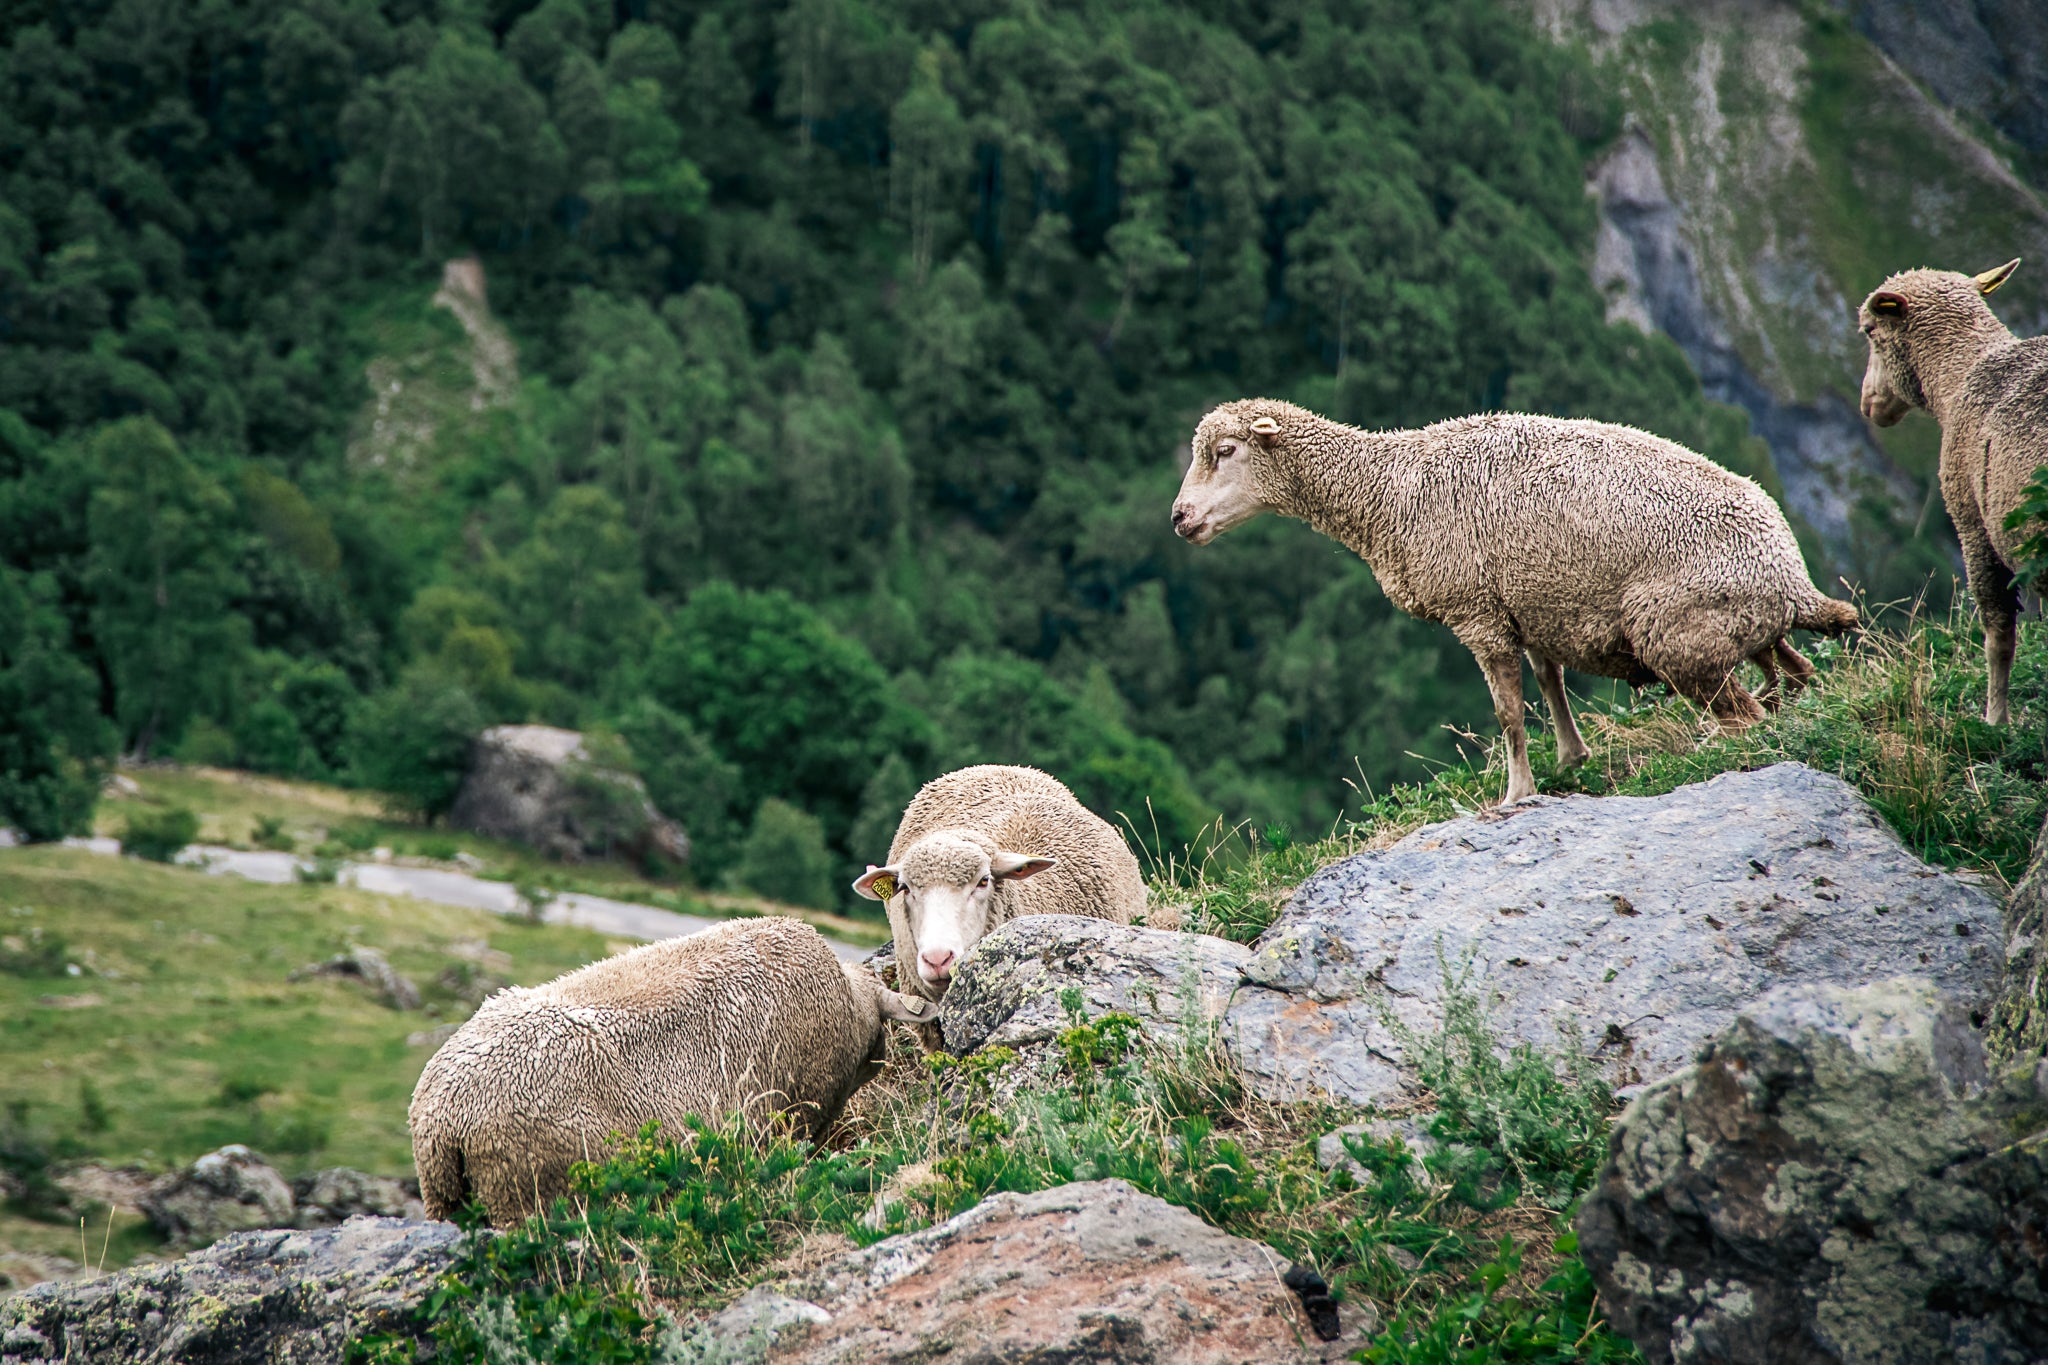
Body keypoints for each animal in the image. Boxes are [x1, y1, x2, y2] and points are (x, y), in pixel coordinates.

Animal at [1171, 394, 1859, 806]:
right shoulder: (1530, 607)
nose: (1178, 518)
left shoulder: (1477, 614)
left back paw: (1725, 748)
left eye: (1225, 452)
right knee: (1796, 673)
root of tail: (1791, 574)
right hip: (1750, 630)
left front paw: (1516, 794)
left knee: (1748, 717)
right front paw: (1571, 757)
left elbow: (1506, 714)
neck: (1387, 492)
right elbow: (1549, 681)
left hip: (1679, 634)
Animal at [1859, 258, 2031, 724]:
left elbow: (1998, 631)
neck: (1964, 371)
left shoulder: (1974, 526)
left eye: (1868, 330)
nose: (1866, 402)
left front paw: (1995, 719)